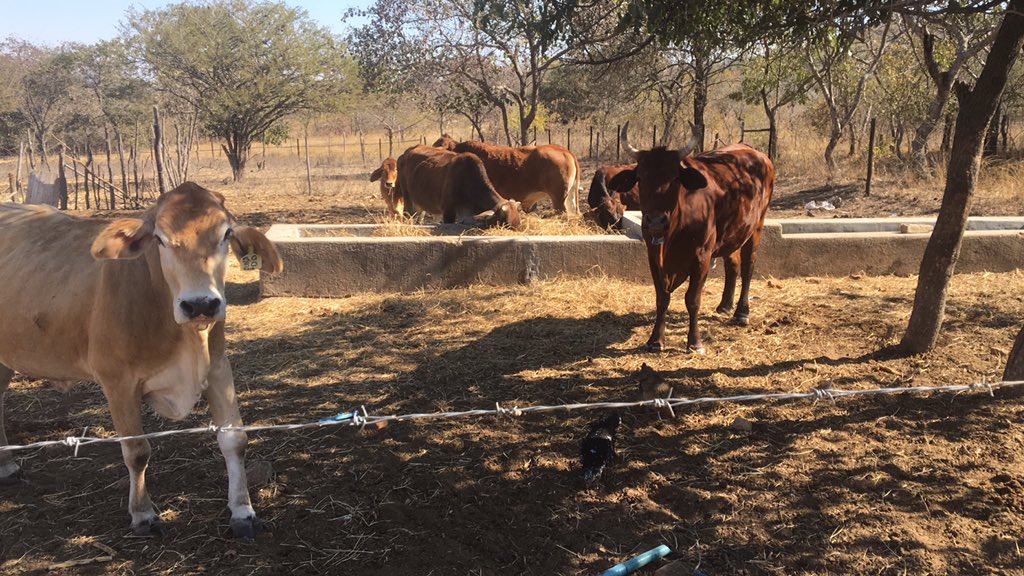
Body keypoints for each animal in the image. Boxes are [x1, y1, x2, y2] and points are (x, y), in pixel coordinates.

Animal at [0, 182, 282, 538]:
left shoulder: (218, 368)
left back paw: (7, 466)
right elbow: (136, 451)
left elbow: (235, 440)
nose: (200, 304)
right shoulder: (117, 382)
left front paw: (243, 510)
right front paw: (143, 513)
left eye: (226, 234)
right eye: (160, 238)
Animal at [610, 123, 774, 354]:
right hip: (733, 233)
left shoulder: (702, 257)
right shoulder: (653, 257)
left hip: (757, 225)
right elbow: (662, 298)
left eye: (675, 178)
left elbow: (692, 299)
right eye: (640, 178)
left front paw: (695, 342)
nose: (656, 222)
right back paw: (725, 306)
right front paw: (655, 340)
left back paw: (742, 312)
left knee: (748, 266)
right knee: (732, 265)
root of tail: (756, 153)